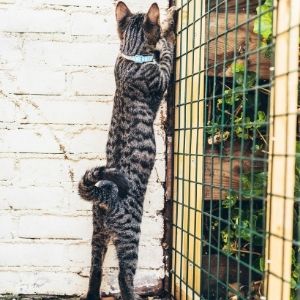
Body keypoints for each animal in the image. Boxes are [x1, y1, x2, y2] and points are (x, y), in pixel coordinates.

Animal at [78, 2, 176, 300]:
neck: (131, 56)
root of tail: (104, 194)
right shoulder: (161, 78)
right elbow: (165, 59)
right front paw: (167, 35)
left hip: (98, 235)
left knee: (95, 271)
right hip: (131, 237)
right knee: (124, 276)